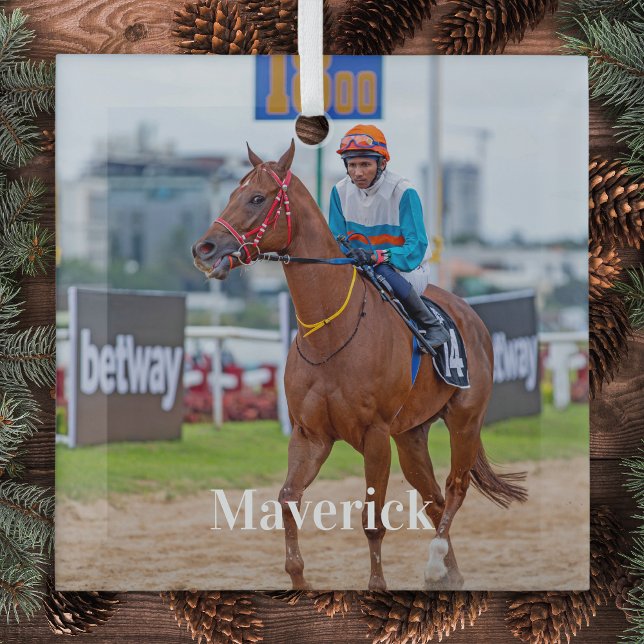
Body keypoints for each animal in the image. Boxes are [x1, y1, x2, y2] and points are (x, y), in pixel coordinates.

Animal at [192, 141, 527, 591]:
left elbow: (372, 519)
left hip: (464, 420)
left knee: (455, 488)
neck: (330, 333)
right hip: (411, 435)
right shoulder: (310, 434)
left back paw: (436, 562)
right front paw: (299, 582)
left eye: (258, 198)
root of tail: (470, 316)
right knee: (434, 499)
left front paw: (376, 587)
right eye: (231, 193)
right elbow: (287, 500)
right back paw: (449, 574)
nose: (204, 249)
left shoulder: (375, 435)